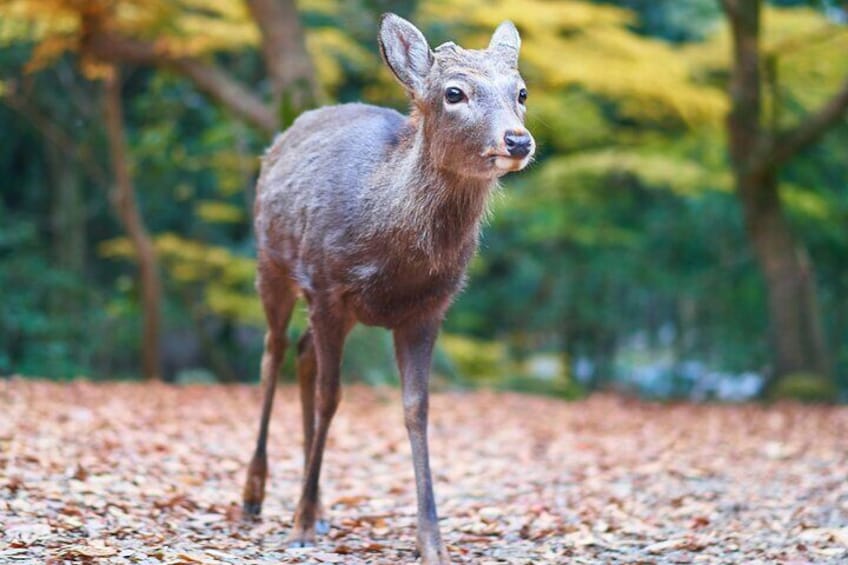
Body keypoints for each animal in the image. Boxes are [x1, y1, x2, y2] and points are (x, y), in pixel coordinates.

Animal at [243, 14, 536, 564]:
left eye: (521, 91)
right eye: (454, 92)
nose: (518, 140)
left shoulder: (428, 309)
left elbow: (416, 409)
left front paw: (432, 542)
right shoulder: (329, 286)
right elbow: (333, 396)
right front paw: (298, 525)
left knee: (302, 353)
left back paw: (321, 506)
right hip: (272, 261)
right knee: (273, 353)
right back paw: (254, 496)